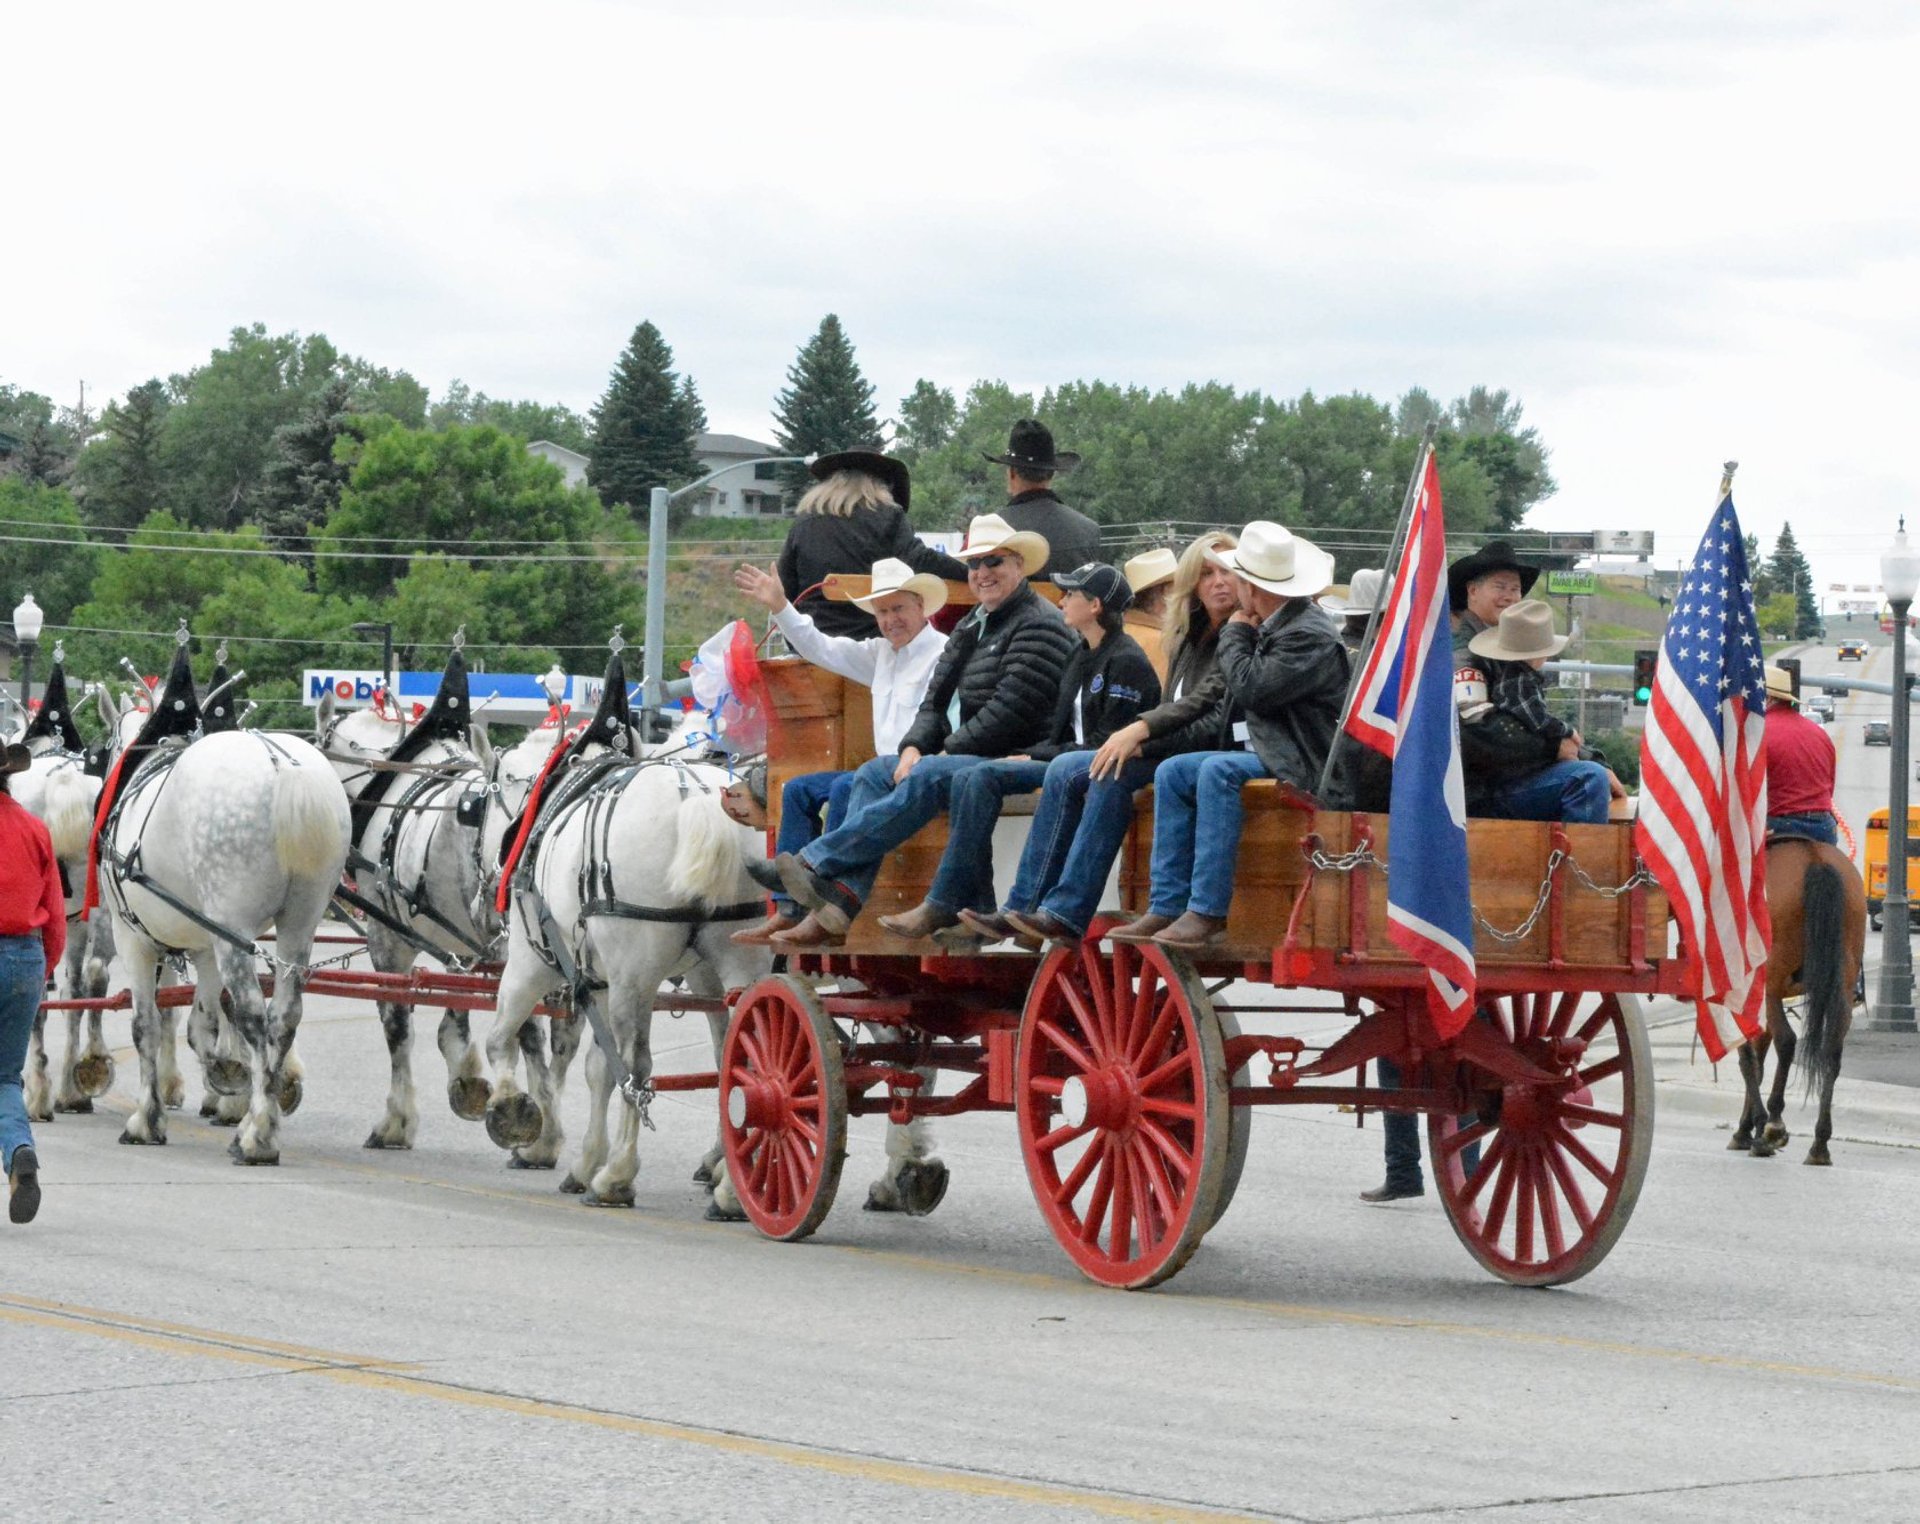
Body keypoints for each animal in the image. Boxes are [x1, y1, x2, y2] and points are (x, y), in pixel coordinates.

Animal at [1735, 836, 1866, 1159]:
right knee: (1831, 1050)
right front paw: (1747, 1126)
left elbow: (1748, 1057)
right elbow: (1758, 1055)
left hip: (1769, 982)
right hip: (1841, 984)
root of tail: (1815, 858)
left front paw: (1749, 1129)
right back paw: (1819, 1144)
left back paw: (1774, 1125)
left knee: (1787, 1041)